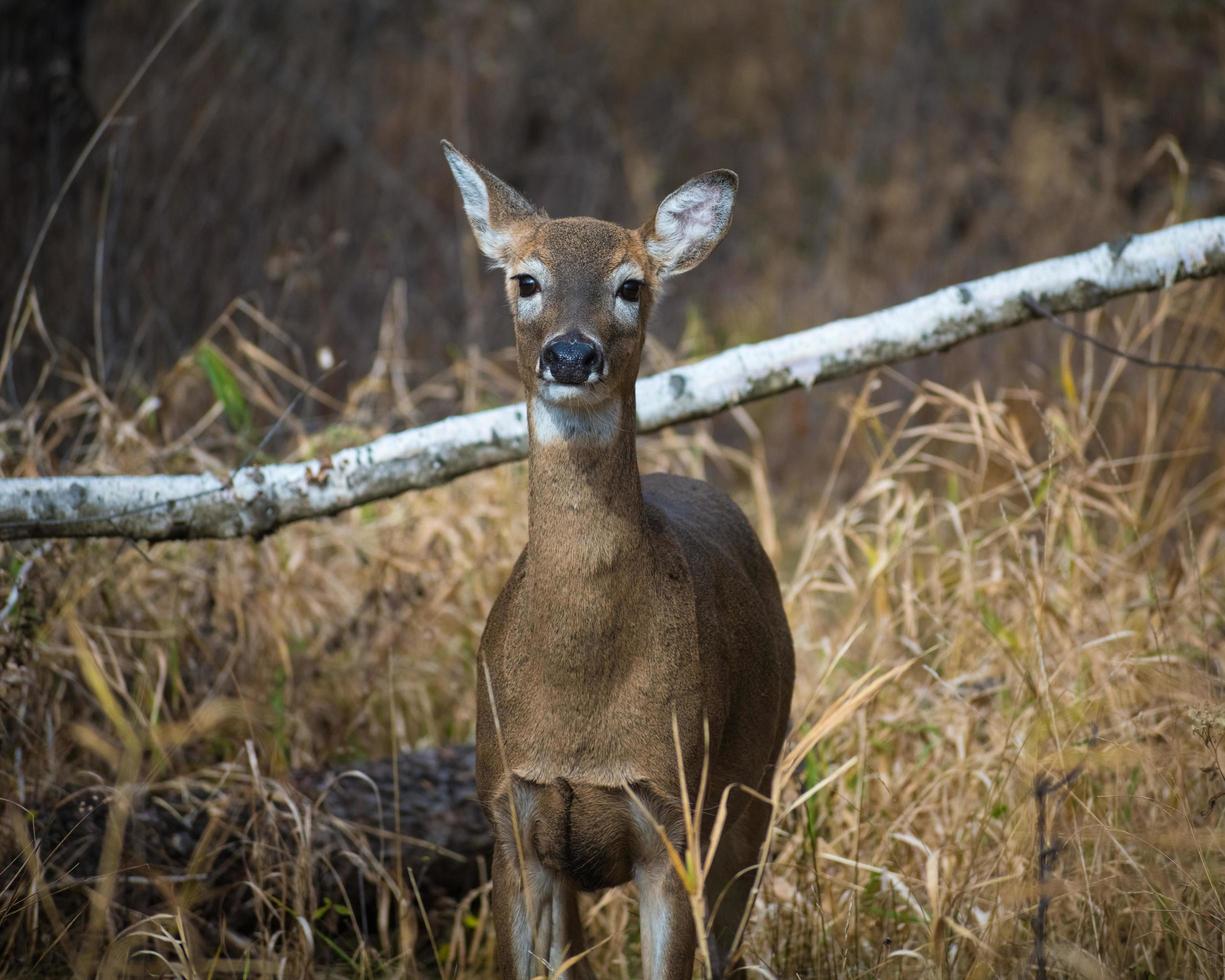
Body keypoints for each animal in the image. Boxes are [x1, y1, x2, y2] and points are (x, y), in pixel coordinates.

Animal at [441, 139, 793, 980]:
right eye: (525, 279)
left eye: (630, 285)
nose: (571, 354)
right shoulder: (510, 816)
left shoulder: (672, 818)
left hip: (755, 786)